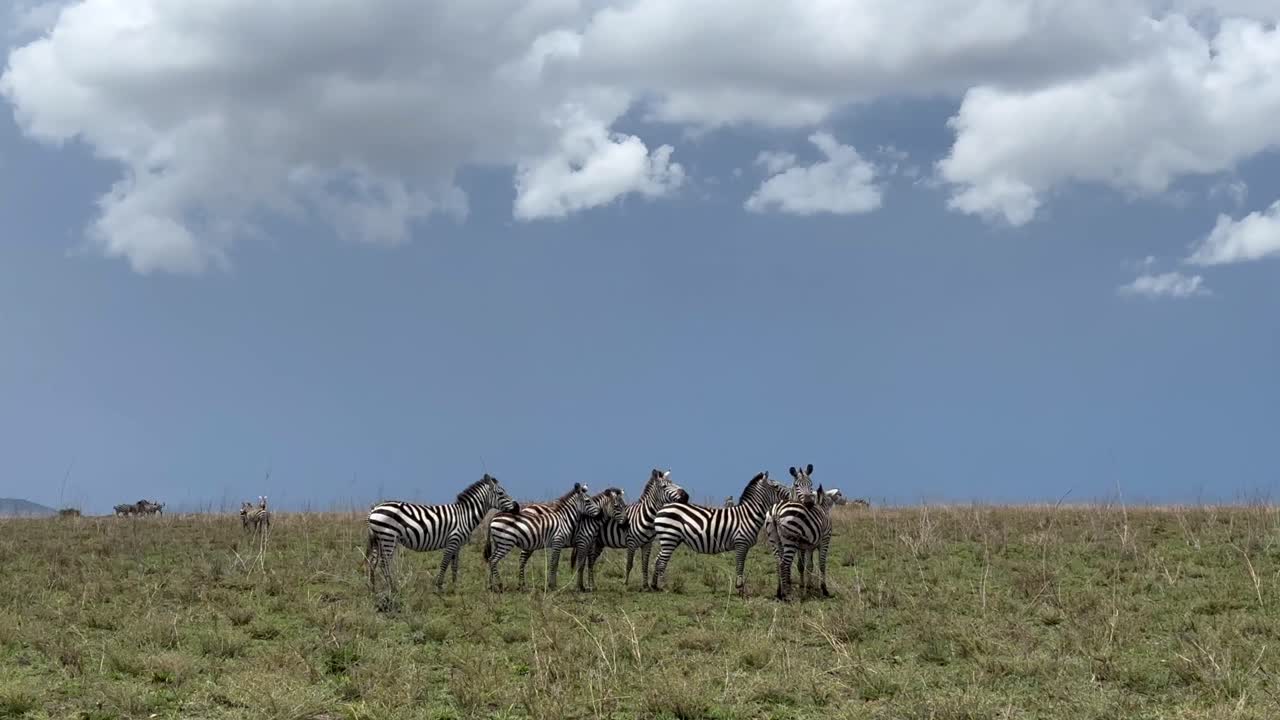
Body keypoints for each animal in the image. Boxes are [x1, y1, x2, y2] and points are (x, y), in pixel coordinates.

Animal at [365, 473, 519, 596]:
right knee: (384, 563)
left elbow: (454, 566)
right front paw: (439, 587)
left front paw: (455, 587)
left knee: (372, 562)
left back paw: (372, 589)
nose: (517, 507)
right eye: (501, 493)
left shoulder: (458, 545)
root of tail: (374, 508)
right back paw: (392, 588)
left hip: (378, 539)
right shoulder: (453, 540)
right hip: (388, 537)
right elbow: (444, 563)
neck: (465, 515)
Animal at [649, 471, 789, 596]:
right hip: (669, 538)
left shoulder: (743, 545)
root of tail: (663, 508)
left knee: (657, 559)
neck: (748, 515)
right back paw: (664, 587)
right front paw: (740, 589)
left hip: (672, 539)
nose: (789, 496)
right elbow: (740, 566)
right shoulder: (741, 543)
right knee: (662, 562)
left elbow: (741, 566)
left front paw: (740, 588)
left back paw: (655, 586)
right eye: (776, 487)